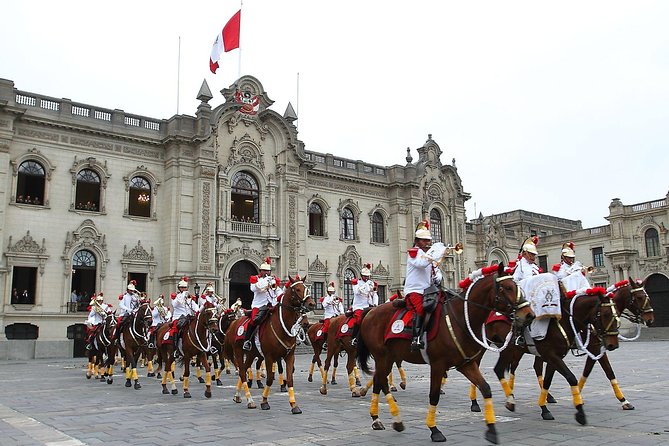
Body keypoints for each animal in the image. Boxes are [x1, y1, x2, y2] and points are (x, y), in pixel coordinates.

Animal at [224, 274, 316, 412]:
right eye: (297, 289)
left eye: (306, 288)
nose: (311, 303)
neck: (282, 326)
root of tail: (234, 322)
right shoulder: (269, 357)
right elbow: (270, 379)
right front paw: (264, 401)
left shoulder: (289, 356)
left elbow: (290, 379)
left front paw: (294, 405)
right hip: (239, 352)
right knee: (242, 372)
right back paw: (250, 400)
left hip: (251, 354)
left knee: (244, 370)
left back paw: (238, 396)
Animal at [354, 264, 532, 444]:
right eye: (507, 287)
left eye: (516, 286)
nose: (529, 315)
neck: (460, 318)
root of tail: (371, 312)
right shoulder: (438, 365)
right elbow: (433, 396)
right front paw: (434, 430)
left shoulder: (465, 364)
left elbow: (486, 388)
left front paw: (492, 430)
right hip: (382, 356)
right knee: (380, 380)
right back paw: (379, 417)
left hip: (388, 357)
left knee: (379, 381)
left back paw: (388, 419)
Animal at [490, 288, 620, 424]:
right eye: (606, 314)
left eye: (617, 314)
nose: (613, 344)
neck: (562, 322)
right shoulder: (552, 356)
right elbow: (571, 377)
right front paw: (580, 413)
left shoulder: (555, 357)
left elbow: (548, 381)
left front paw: (544, 409)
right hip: (508, 349)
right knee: (501, 368)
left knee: (505, 369)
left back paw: (510, 399)